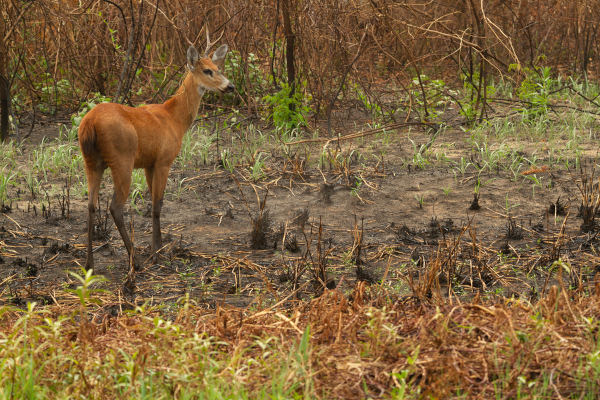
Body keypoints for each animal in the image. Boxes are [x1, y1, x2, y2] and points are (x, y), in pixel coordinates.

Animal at [81, 30, 236, 268]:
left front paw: (160, 245)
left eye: (219, 68)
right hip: (122, 159)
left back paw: (89, 263)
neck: (175, 120)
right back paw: (135, 261)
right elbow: (157, 205)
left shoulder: (148, 163)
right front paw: (157, 251)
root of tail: (90, 123)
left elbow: (156, 202)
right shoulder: (164, 159)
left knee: (90, 205)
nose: (230, 86)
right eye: (207, 70)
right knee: (115, 206)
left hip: (91, 160)